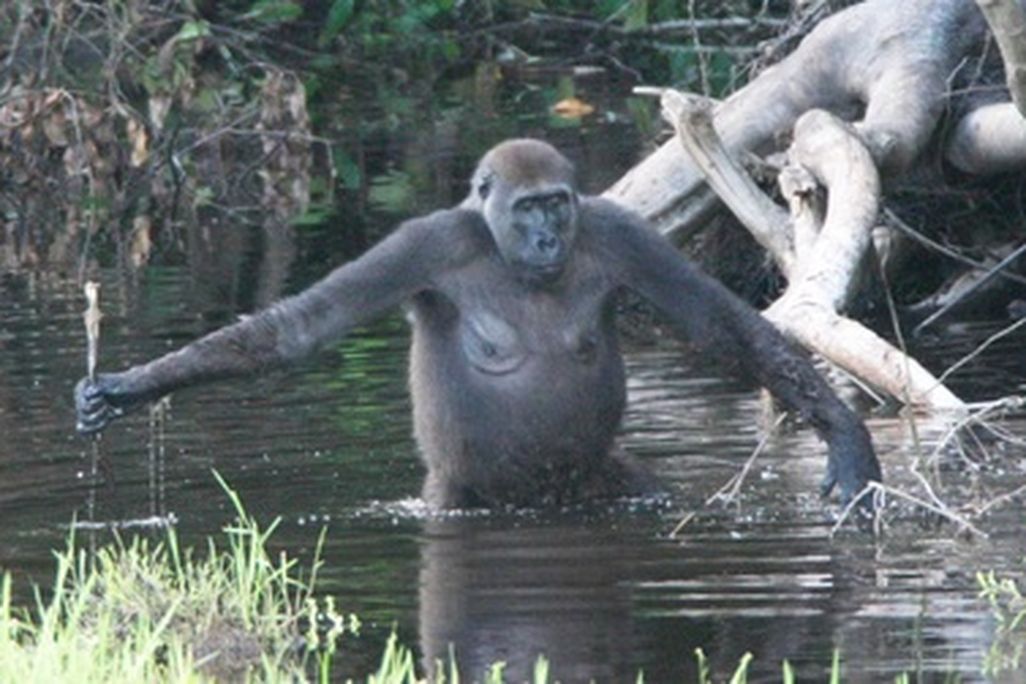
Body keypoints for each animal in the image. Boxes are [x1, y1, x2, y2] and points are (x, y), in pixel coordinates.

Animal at [75, 139, 881, 509]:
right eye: (527, 209)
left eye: (557, 203)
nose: (550, 237)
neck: (505, 248)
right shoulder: (423, 243)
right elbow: (299, 327)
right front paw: (134, 385)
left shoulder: (618, 231)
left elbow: (720, 325)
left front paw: (847, 438)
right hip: (455, 497)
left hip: (600, 484)